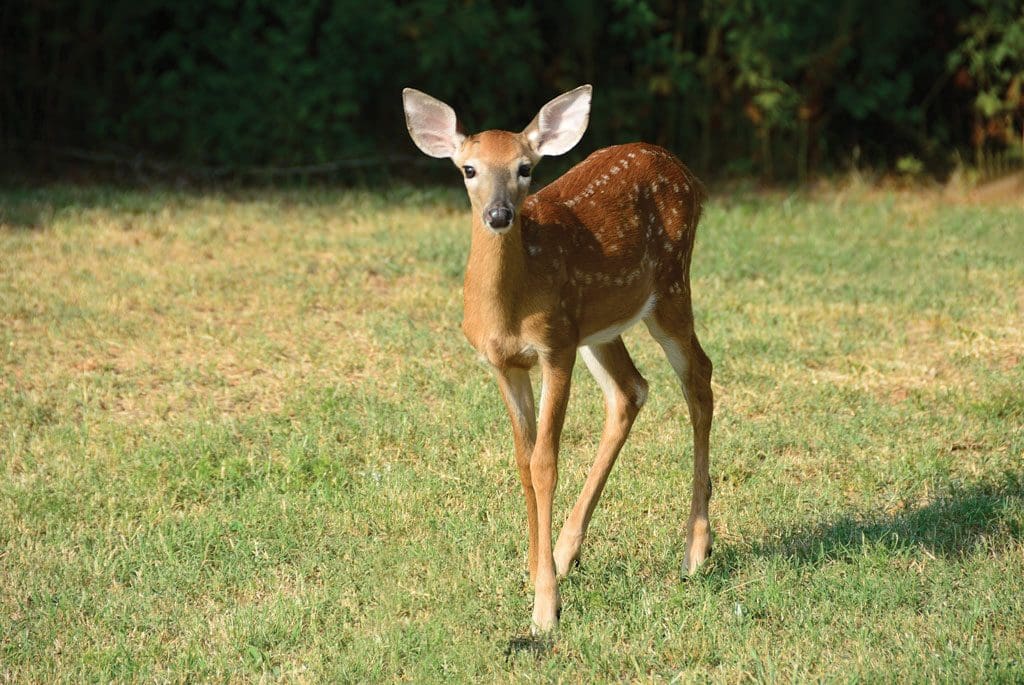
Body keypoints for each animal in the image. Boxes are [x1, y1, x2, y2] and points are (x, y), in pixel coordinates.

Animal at [402, 84, 714, 634]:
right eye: (469, 169)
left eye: (525, 168)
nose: (499, 215)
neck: (508, 309)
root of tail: (683, 169)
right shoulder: (504, 364)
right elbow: (523, 460)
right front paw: (535, 569)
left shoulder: (554, 348)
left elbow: (546, 461)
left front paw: (545, 609)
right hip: (599, 325)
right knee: (631, 390)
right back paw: (569, 551)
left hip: (670, 287)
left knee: (699, 378)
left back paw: (696, 549)